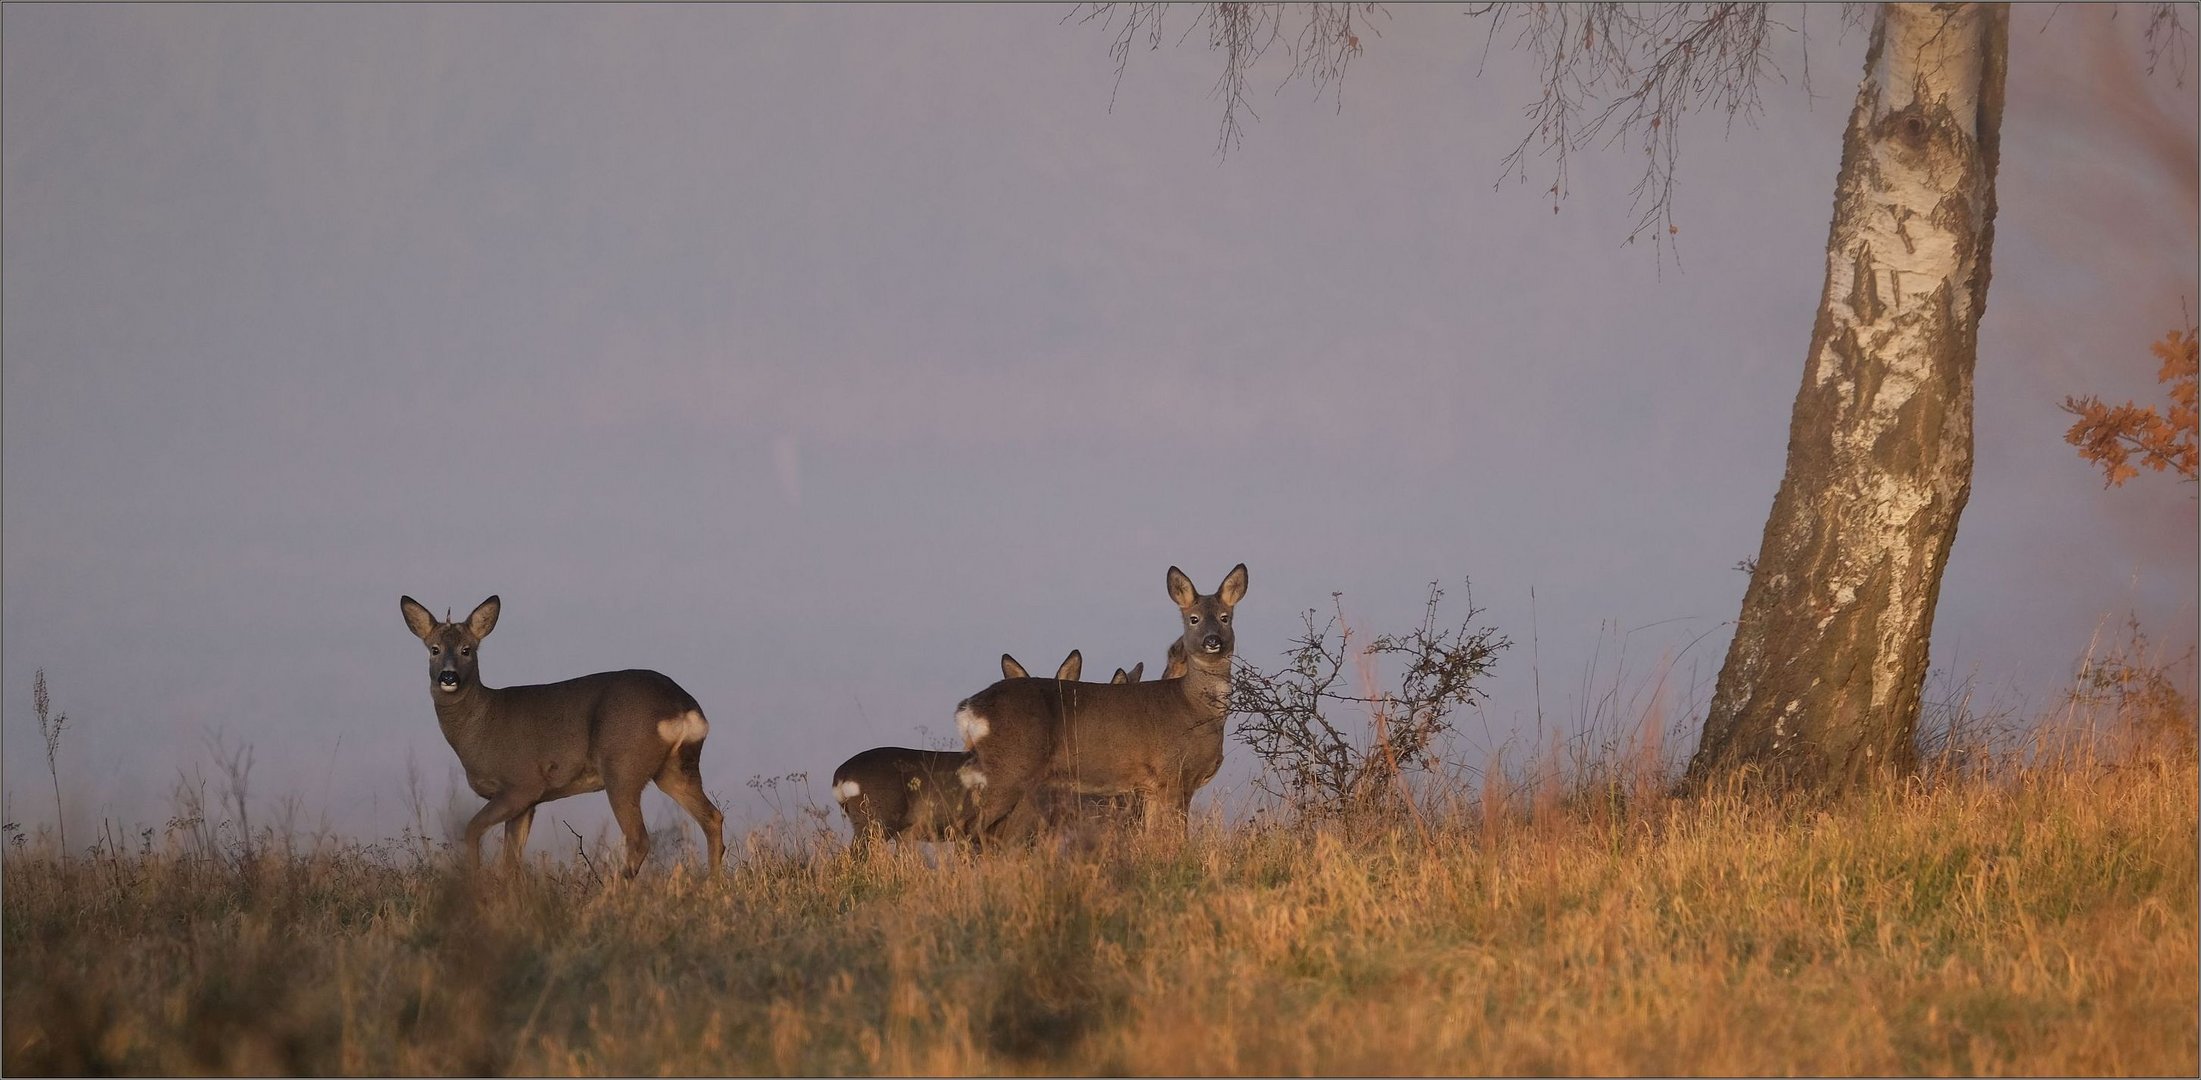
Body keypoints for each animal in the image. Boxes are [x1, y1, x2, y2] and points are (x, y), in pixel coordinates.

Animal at [400, 593, 726, 884]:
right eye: (434, 649)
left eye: (467, 649)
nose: (448, 677)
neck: (481, 723)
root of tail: (684, 706)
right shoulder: (529, 802)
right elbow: (511, 860)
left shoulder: (522, 783)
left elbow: (472, 830)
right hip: (675, 768)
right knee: (713, 817)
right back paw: (712, 886)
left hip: (623, 767)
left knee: (639, 839)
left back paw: (613, 892)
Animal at [955, 567, 1250, 844]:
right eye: (1193, 619)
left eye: (1225, 617)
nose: (1212, 641)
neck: (1195, 709)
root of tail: (969, 708)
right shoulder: (1174, 772)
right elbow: (1176, 835)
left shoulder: (1152, 787)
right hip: (1008, 768)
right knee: (969, 827)